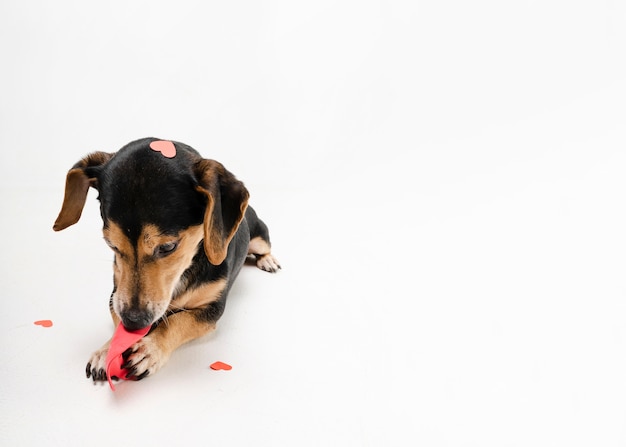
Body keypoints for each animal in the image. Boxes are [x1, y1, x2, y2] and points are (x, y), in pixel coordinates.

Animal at [53, 138, 278, 384]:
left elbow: (180, 321)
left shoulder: (212, 308)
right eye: (111, 245)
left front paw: (150, 349)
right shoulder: (116, 293)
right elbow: (116, 317)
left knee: (265, 246)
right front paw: (107, 350)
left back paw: (268, 261)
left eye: (168, 247)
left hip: (259, 238)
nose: (134, 321)